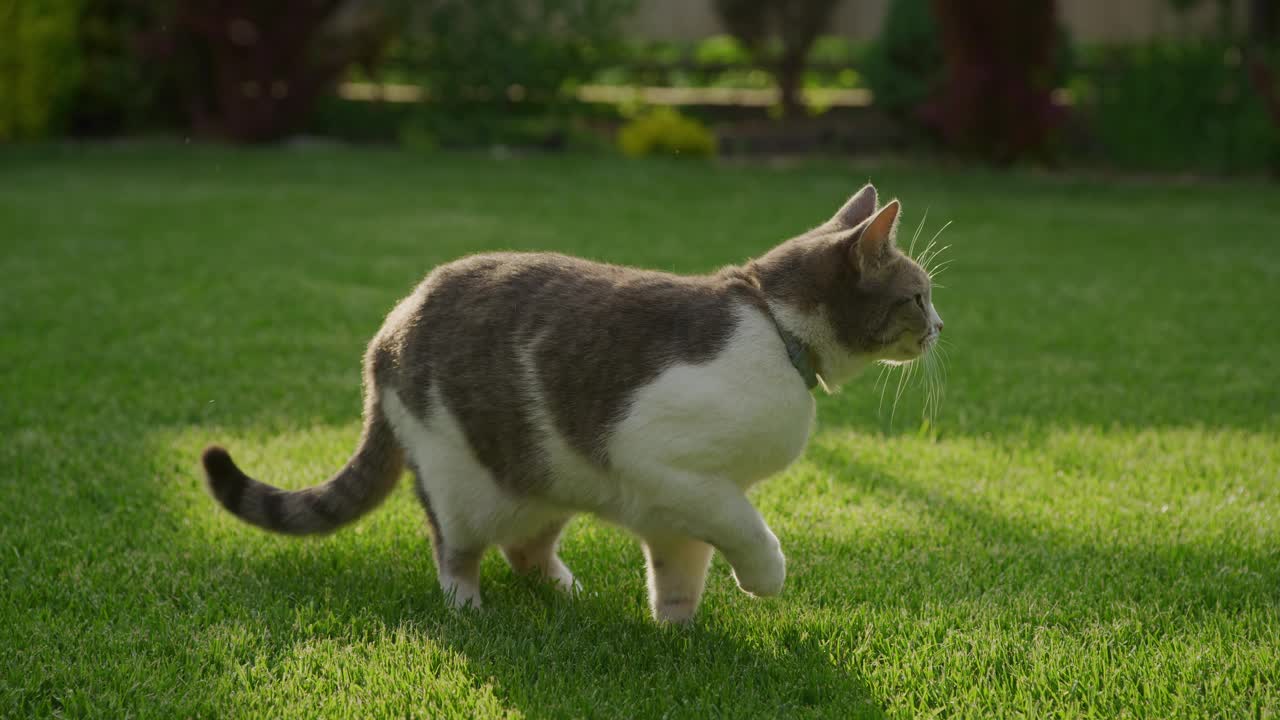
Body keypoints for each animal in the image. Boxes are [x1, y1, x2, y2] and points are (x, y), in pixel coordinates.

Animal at [199, 181, 942, 620]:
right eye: (918, 295)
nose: (940, 326)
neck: (775, 329)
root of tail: (385, 331)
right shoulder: (669, 463)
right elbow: (747, 528)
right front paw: (764, 577)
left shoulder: (677, 504)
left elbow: (680, 572)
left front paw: (681, 639)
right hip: (461, 482)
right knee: (456, 547)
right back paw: (468, 608)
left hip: (549, 483)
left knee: (525, 550)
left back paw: (567, 593)